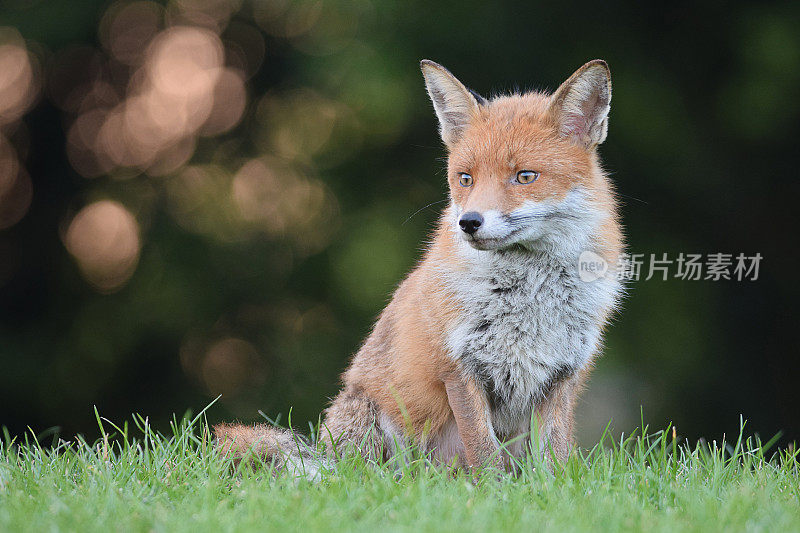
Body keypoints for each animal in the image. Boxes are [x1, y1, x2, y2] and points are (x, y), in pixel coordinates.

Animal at [217, 58, 624, 474]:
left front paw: (550, 488)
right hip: (377, 430)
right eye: (465, 179)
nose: (469, 222)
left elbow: (553, 463)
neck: (530, 293)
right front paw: (492, 489)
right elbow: (485, 454)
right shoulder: (458, 367)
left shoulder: (563, 373)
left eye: (525, 176)